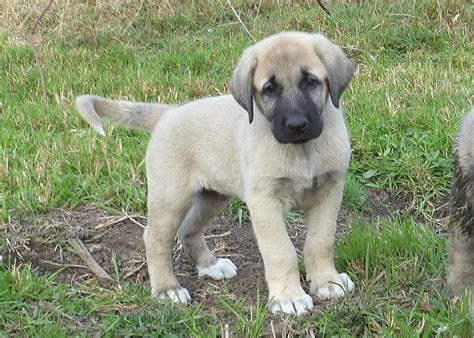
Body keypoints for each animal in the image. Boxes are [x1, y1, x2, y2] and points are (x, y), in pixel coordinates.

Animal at [75, 31, 356, 314]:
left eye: (310, 81)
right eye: (269, 89)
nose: (296, 125)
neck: (302, 150)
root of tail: (168, 113)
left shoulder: (329, 192)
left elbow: (320, 242)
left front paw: (327, 281)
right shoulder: (264, 201)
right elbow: (280, 250)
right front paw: (289, 297)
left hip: (212, 197)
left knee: (188, 229)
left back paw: (210, 265)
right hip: (170, 198)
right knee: (155, 239)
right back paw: (168, 288)